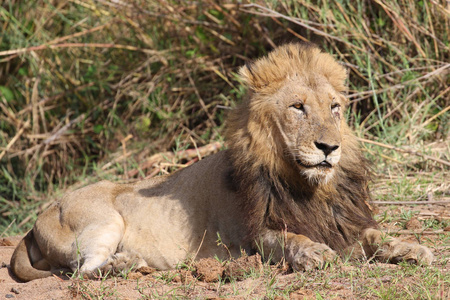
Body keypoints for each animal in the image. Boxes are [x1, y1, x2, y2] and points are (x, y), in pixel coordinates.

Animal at [9, 42, 432, 282]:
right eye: (298, 107)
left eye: (335, 108)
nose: (329, 147)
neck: (305, 185)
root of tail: (39, 217)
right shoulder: (247, 236)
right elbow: (287, 239)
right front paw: (314, 253)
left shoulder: (341, 222)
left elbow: (376, 237)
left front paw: (411, 248)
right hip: (103, 221)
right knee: (81, 272)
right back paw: (123, 266)